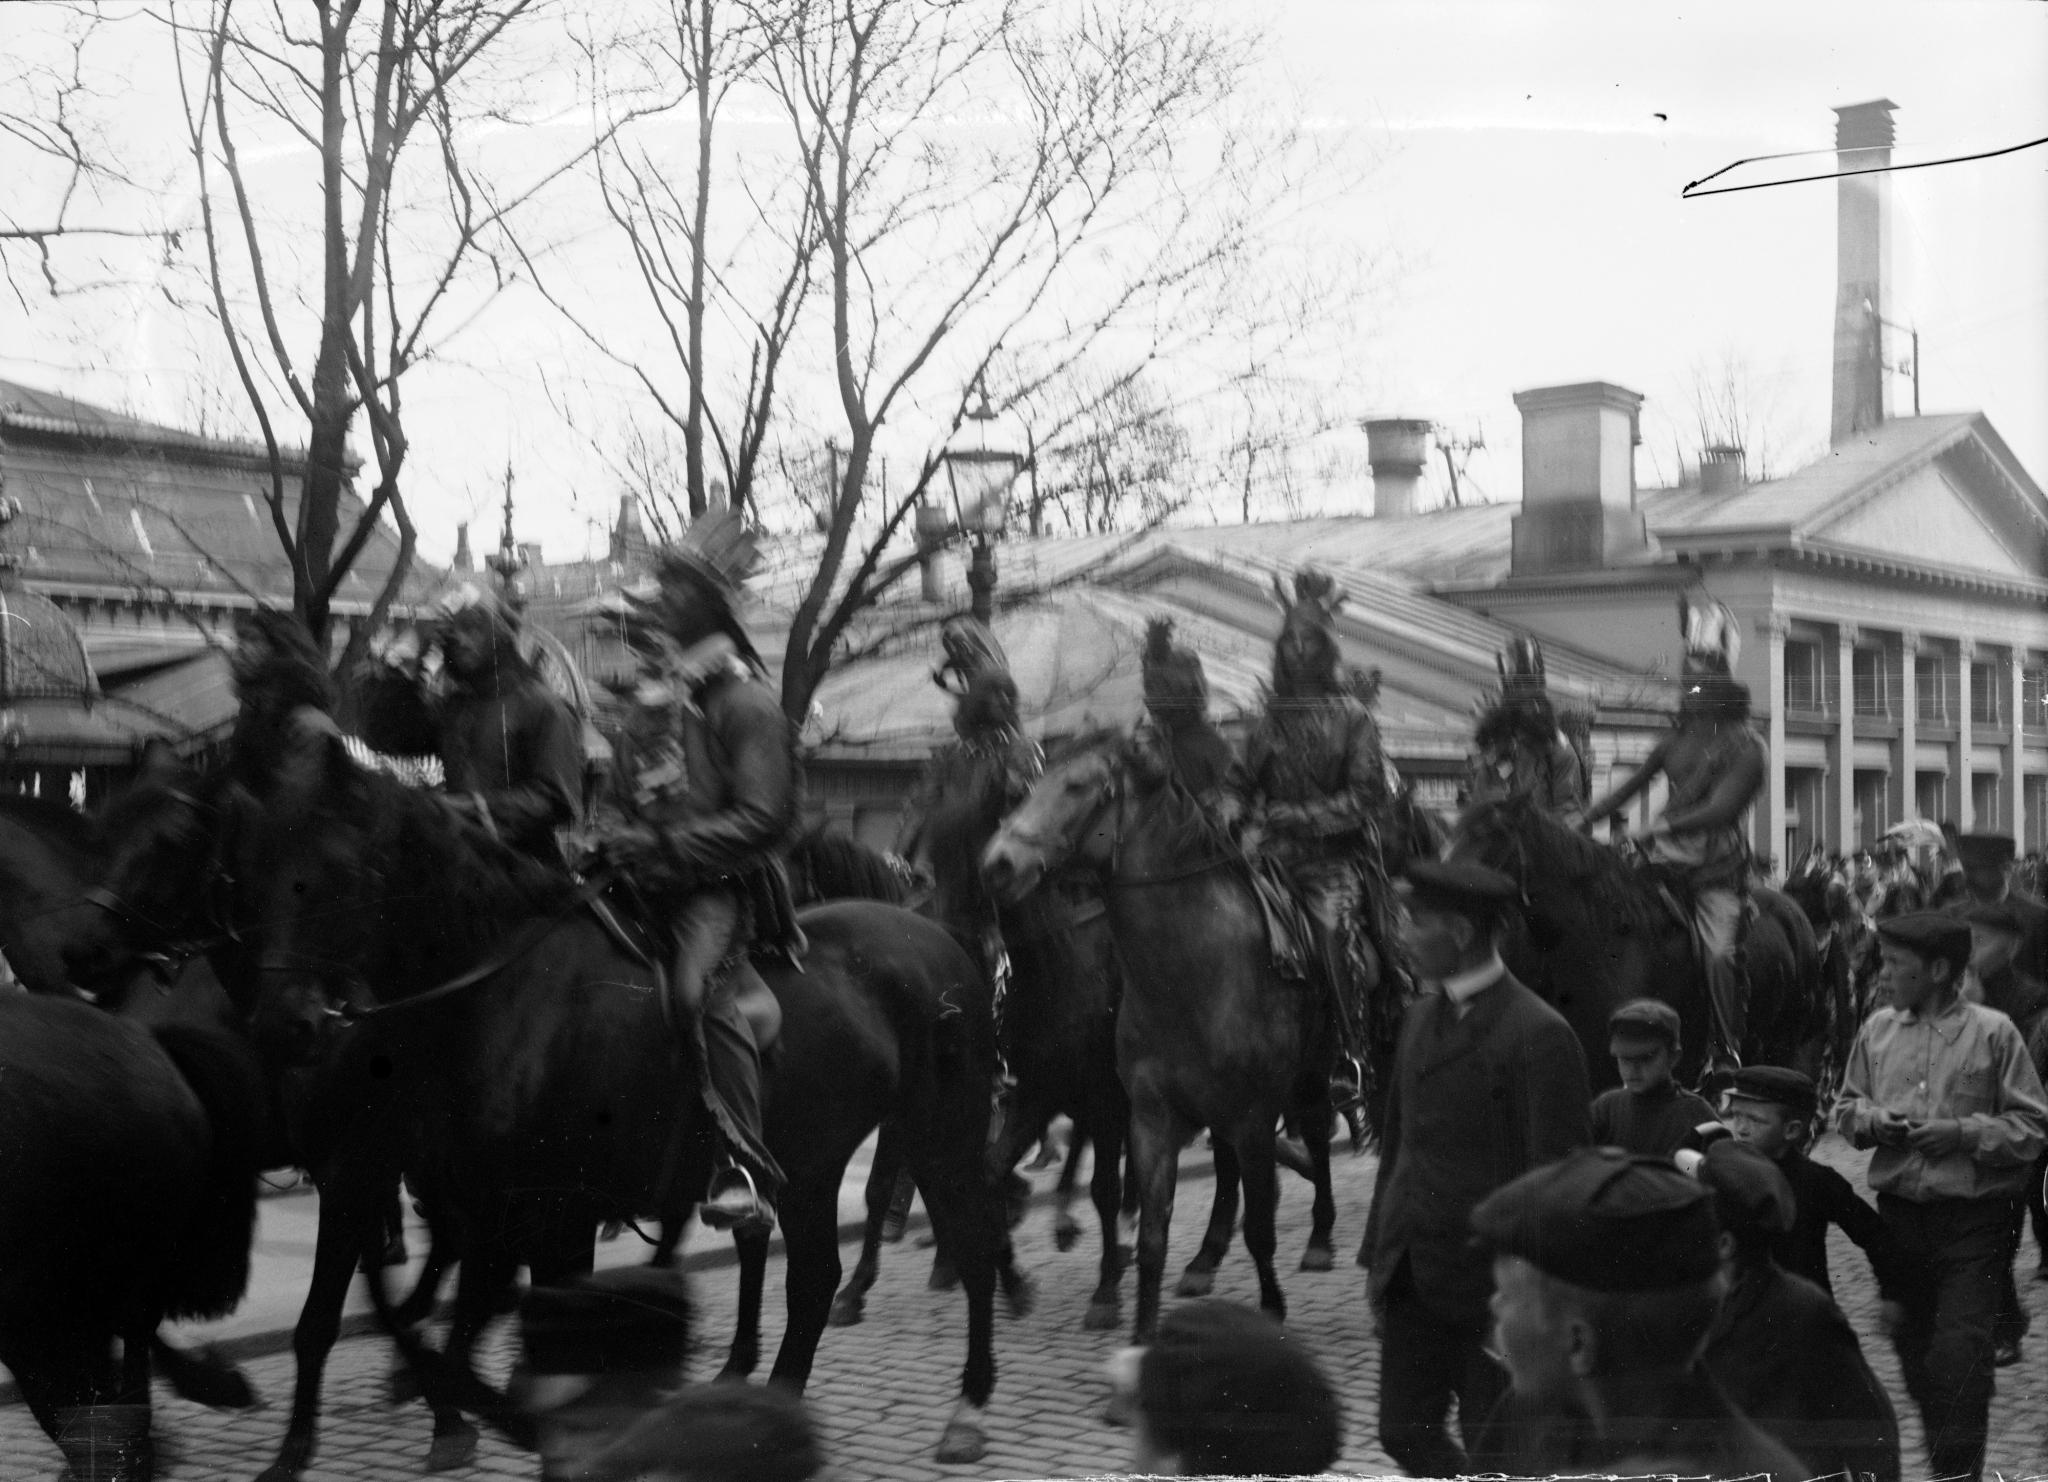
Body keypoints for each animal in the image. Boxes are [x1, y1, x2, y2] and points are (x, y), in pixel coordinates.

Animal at [222, 716, 1007, 1473]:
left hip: (940, 1136)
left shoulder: (547, 1215)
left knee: (969, 1247)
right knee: (814, 1280)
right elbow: (473, 1334)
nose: (281, 1025)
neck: (510, 996)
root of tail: (944, 944)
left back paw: (966, 1412)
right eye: (253, 872)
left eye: (340, 872)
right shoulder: (489, 1216)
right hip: (812, 1168)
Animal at [978, 728, 1351, 1342]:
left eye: (1077, 786)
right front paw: (1139, 1328)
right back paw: (1202, 1259)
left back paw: (1319, 1238)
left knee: (1316, 1137)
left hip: (1310, 1076)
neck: (1191, 975)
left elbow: (1261, 1228)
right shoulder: (1145, 1114)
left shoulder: (1248, 1113)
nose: (998, 865)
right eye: (1024, 789)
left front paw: (1270, 1311)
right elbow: (1152, 1233)